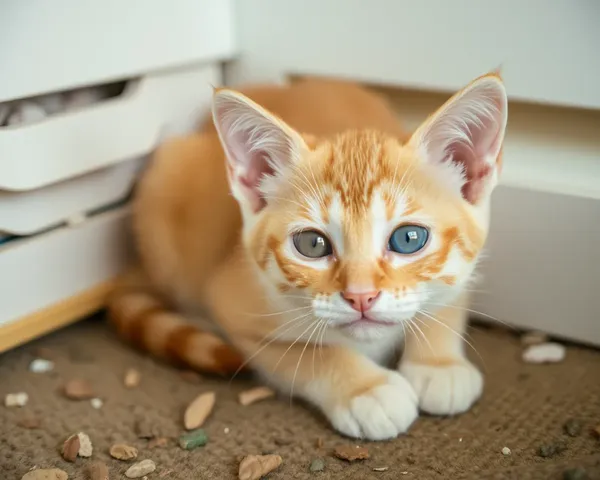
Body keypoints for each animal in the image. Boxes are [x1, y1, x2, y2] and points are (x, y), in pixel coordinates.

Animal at [108, 74, 506, 438]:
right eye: (312, 245)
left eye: (409, 239)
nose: (361, 297)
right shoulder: (234, 303)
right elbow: (306, 353)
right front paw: (366, 389)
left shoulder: (466, 268)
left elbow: (449, 294)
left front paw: (439, 363)